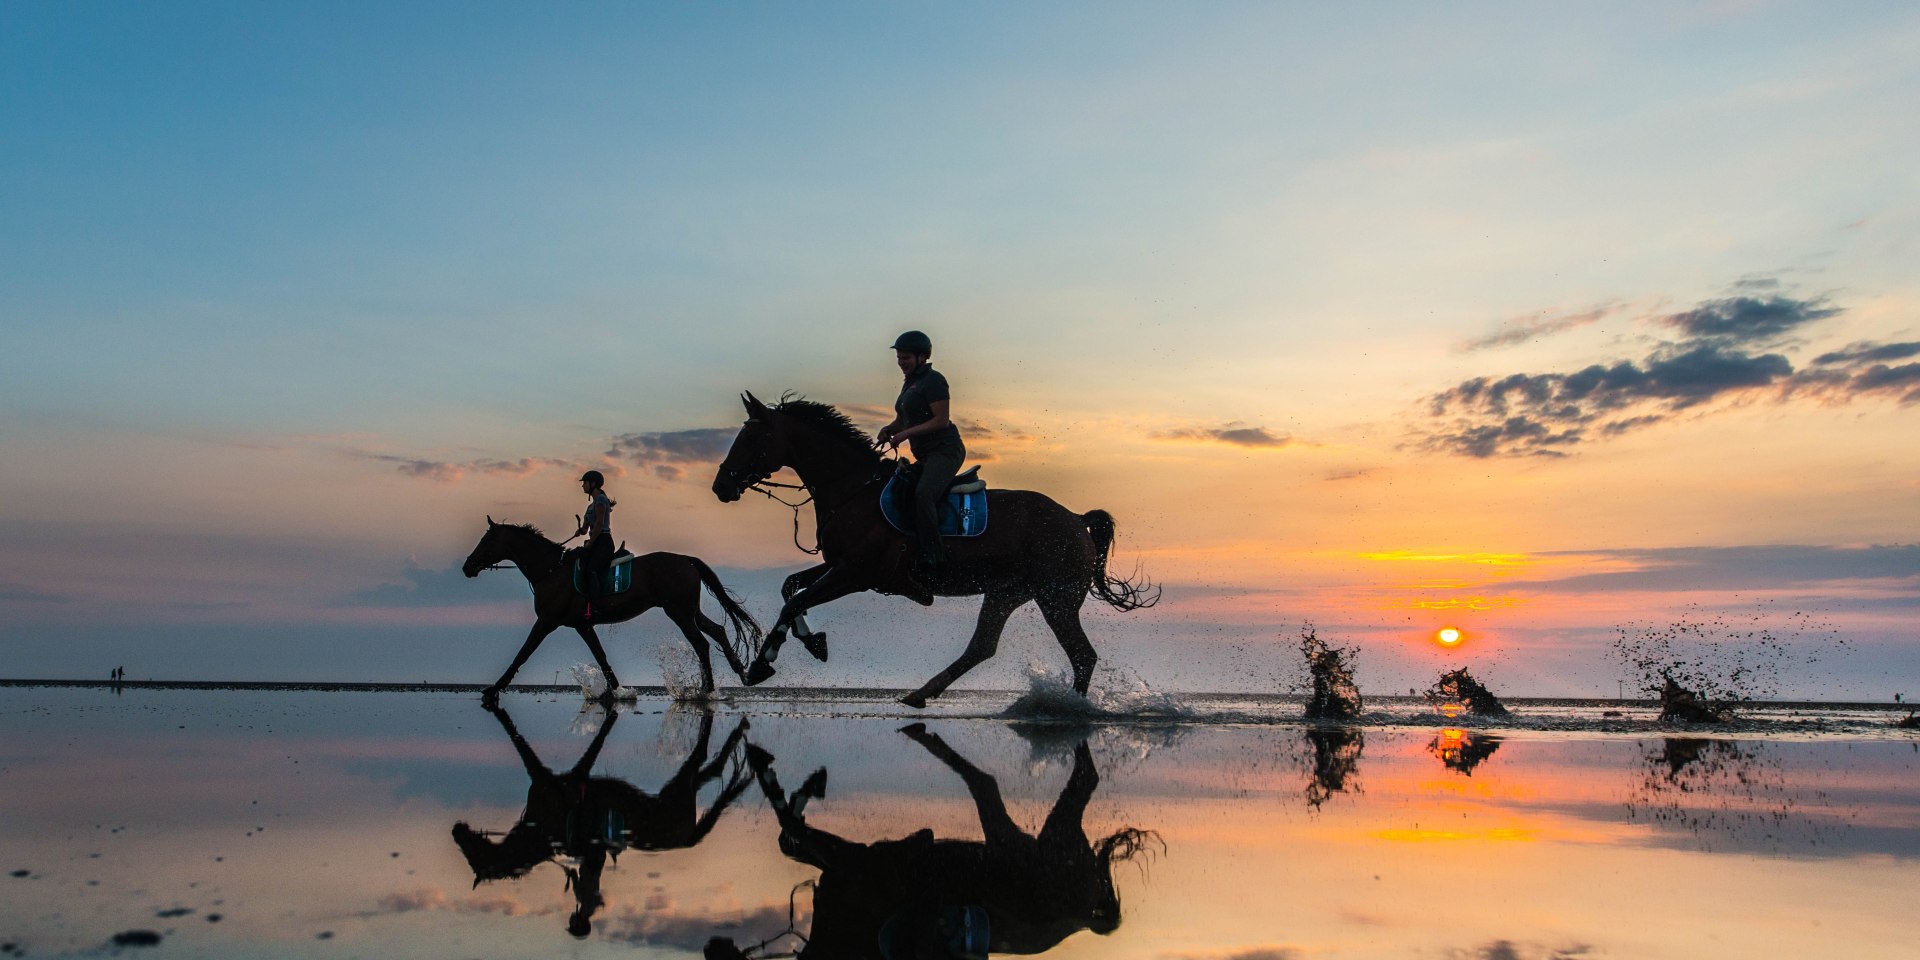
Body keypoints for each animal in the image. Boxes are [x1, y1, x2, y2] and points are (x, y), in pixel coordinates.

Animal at [449, 702, 748, 940]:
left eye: (473, 856)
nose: (455, 830)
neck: (542, 832)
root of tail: (686, 842)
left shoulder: (545, 777)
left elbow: (528, 750)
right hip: (680, 791)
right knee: (711, 770)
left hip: (679, 790)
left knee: (703, 759)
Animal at [460, 518, 760, 698]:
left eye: (486, 541)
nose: (467, 567)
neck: (550, 570)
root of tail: (686, 560)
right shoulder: (582, 625)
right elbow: (601, 656)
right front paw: (616, 691)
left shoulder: (546, 621)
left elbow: (523, 653)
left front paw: (494, 688)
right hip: (690, 611)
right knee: (718, 630)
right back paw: (742, 675)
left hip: (679, 613)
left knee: (701, 643)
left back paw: (706, 691)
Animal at [706, 721, 1152, 956]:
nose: (718, 945)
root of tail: (1085, 915)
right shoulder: (850, 864)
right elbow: (789, 837)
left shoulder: (860, 863)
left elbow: (790, 828)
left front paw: (784, 774)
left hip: (1031, 843)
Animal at [718, 391, 1152, 706]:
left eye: (752, 437)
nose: (720, 486)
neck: (853, 490)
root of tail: (1076, 520)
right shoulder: (840, 566)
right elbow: (790, 588)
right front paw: (808, 644)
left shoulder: (855, 574)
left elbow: (795, 600)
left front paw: (763, 663)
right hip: (1008, 593)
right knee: (983, 646)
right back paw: (920, 694)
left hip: (1056, 598)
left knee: (1081, 655)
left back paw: (1072, 709)